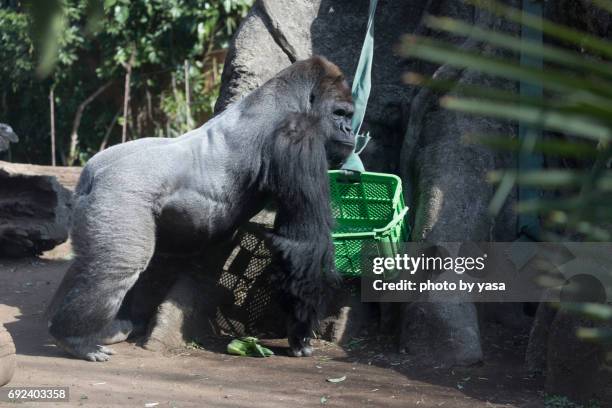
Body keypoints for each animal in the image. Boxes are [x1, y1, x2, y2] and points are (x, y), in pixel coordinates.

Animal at [47, 55, 356, 362]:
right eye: (339, 113)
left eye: (348, 116)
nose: (350, 130)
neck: (288, 96)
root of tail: (93, 173)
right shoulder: (299, 135)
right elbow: (304, 243)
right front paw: (299, 332)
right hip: (120, 194)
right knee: (118, 267)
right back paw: (76, 339)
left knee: (90, 264)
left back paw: (83, 327)